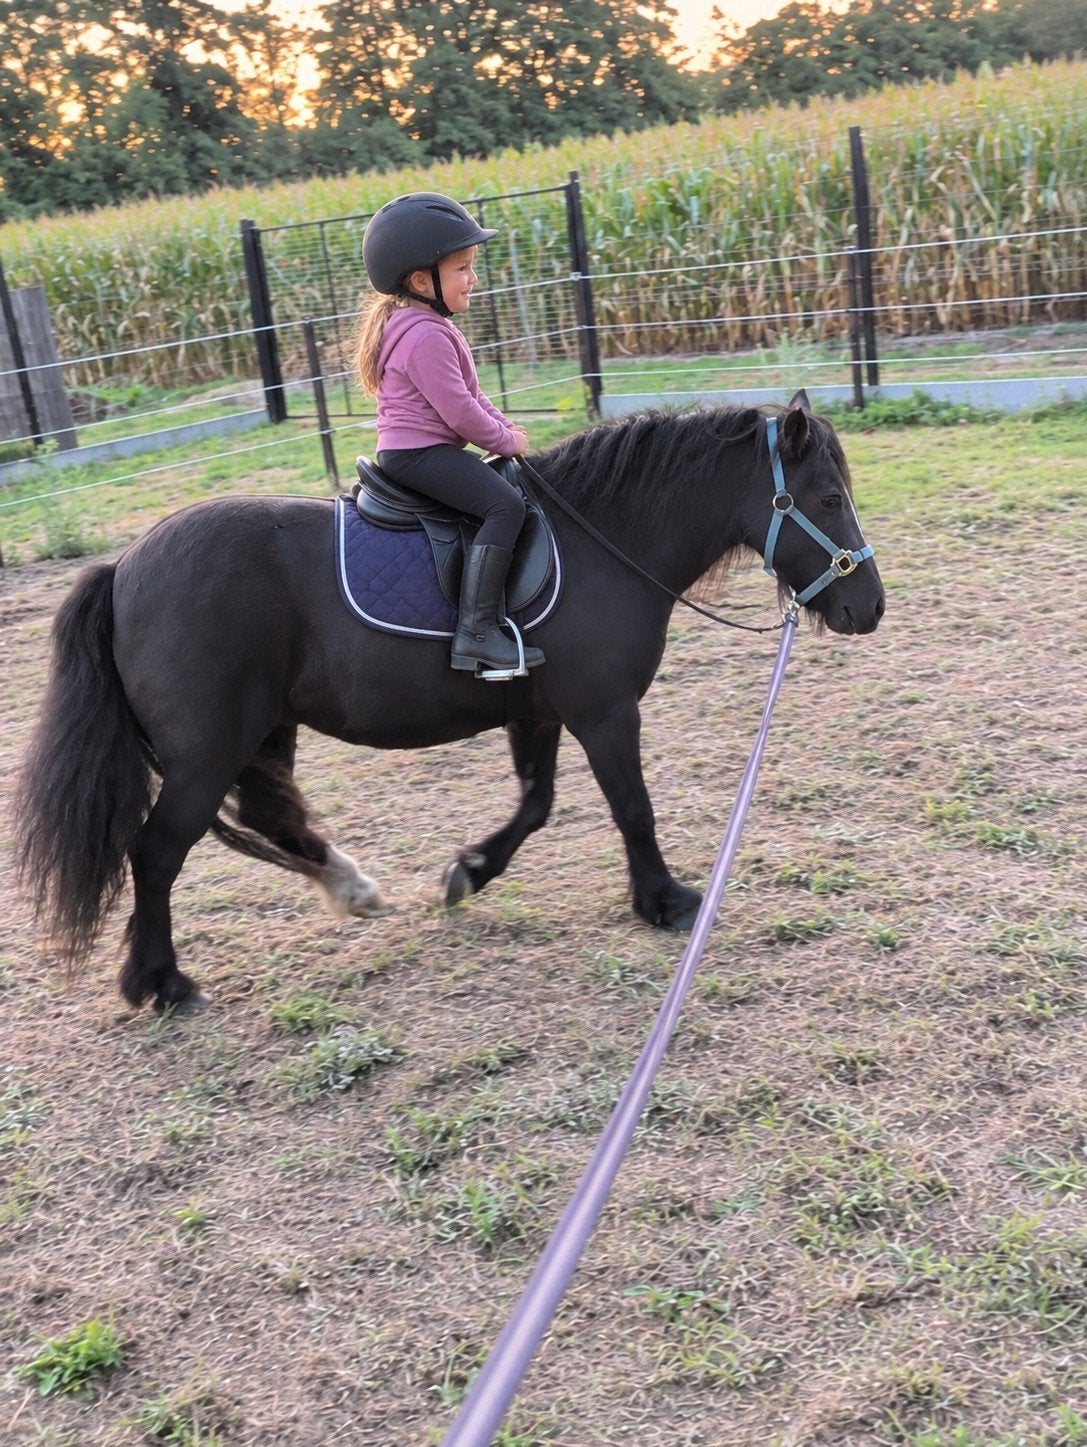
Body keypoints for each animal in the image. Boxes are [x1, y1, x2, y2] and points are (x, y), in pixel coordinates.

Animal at [14, 392, 884, 1014]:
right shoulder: (604, 712)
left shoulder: (538, 712)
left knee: (268, 818)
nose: (868, 608)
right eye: (828, 497)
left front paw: (469, 871)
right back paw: (161, 980)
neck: (603, 541)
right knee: (155, 853)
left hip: (262, 732)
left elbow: (535, 804)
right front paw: (665, 900)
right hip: (207, 752)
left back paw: (348, 887)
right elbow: (631, 807)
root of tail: (123, 568)